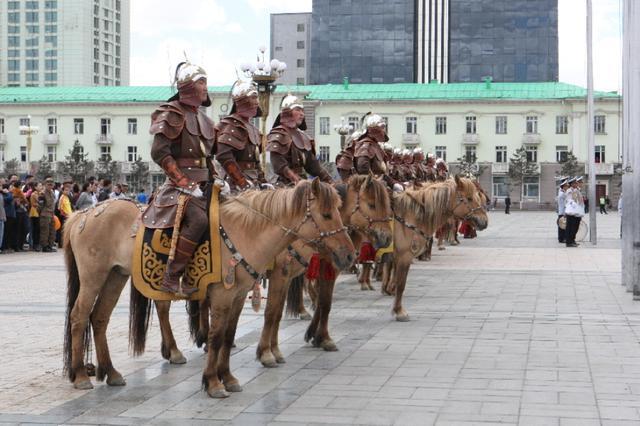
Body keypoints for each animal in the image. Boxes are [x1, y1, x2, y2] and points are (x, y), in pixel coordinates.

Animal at [63, 179, 356, 396]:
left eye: (339, 211)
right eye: (327, 214)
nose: (349, 255)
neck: (245, 232)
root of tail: (81, 215)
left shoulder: (238, 295)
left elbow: (229, 335)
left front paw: (228, 377)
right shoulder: (225, 295)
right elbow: (217, 336)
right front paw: (213, 382)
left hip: (116, 275)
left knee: (99, 318)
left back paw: (111, 372)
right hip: (93, 276)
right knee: (79, 316)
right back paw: (81, 375)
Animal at [255, 175, 390, 368]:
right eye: (372, 205)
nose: (387, 238)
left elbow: (320, 303)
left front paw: (317, 336)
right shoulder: (284, 274)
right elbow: (277, 311)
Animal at [380, 176, 490, 320]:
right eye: (469, 198)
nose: (485, 221)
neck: (407, 217)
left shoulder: (395, 256)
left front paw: (388, 290)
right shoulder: (404, 256)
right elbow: (401, 284)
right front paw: (399, 311)